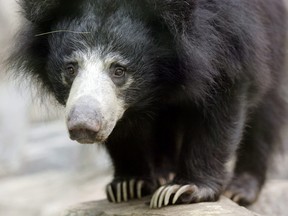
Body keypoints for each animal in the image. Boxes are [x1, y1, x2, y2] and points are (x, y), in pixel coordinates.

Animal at [9, 0, 288, 208]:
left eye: (119, 70)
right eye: (70, 68)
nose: (83, 126)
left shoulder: (228, 36)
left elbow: (220, 105)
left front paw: (183, 189)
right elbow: (123, 129)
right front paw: (128, 185)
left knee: (266, 115)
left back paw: (241, 189)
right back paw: (163, 172)